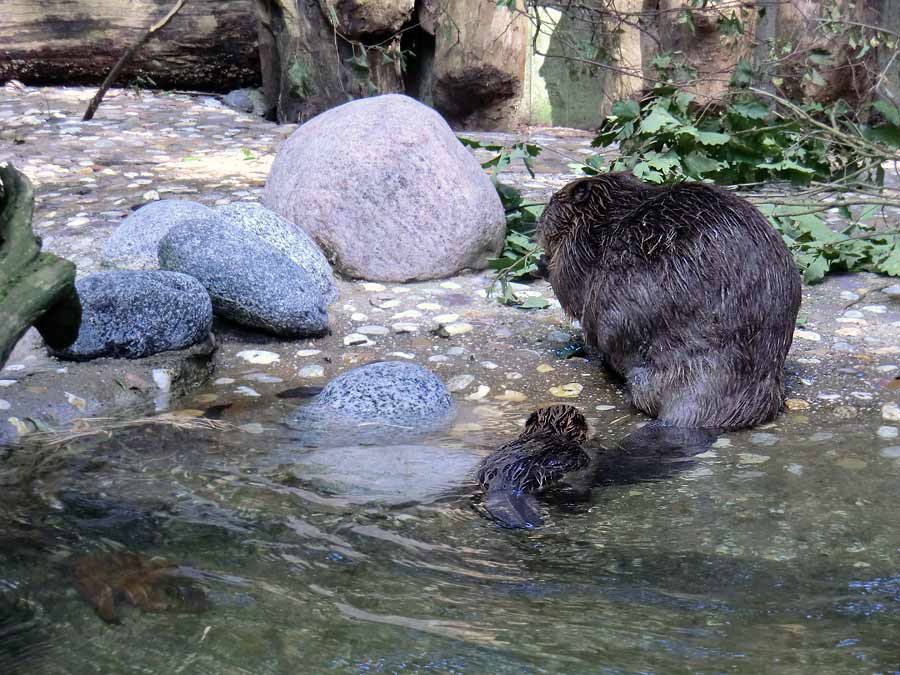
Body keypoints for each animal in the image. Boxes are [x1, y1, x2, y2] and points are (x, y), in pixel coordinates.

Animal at [536, 172, 800, 430]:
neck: (606, 217)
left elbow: (565, 286)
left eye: (551, 201)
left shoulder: (577, 251)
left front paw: (542, 263)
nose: (539, 221)